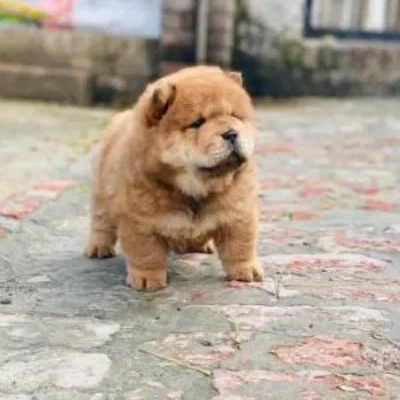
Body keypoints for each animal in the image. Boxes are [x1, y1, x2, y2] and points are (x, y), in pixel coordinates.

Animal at [86, 65, 264, 290]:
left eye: (234, 116)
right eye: (197, 123)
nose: (231, 133)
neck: (196, 189)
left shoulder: (238, 213)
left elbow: (241, 245)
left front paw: (246, 271)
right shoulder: (139, 220)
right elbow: (147, 254)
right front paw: (147, 280)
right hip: (101, 194)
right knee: (101, 223)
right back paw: (98, 249)